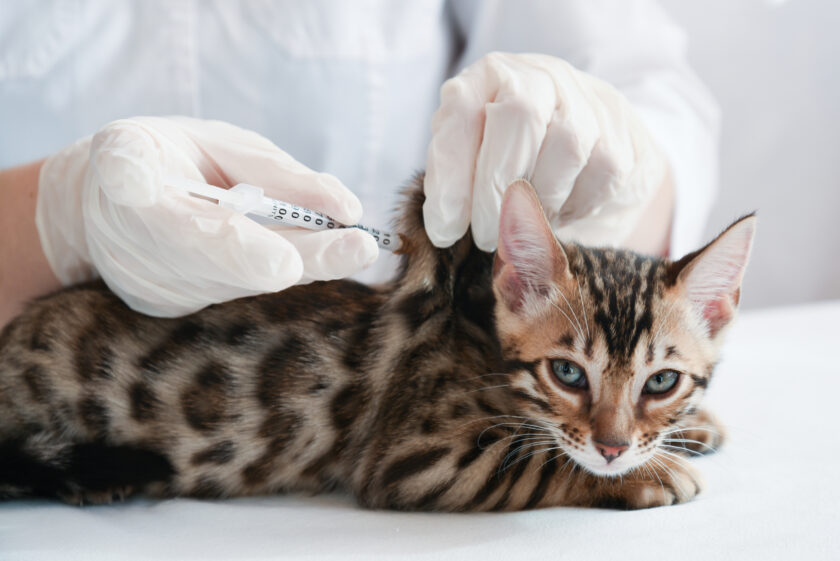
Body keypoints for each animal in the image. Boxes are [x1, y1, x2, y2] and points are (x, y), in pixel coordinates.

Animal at [0, 177, 756, 510]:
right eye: (568, 373)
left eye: (661, 382)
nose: (613, 447)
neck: (481, 343)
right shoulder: (416, 457)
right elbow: (538, 460)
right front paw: (650, 474)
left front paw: (693, 429)